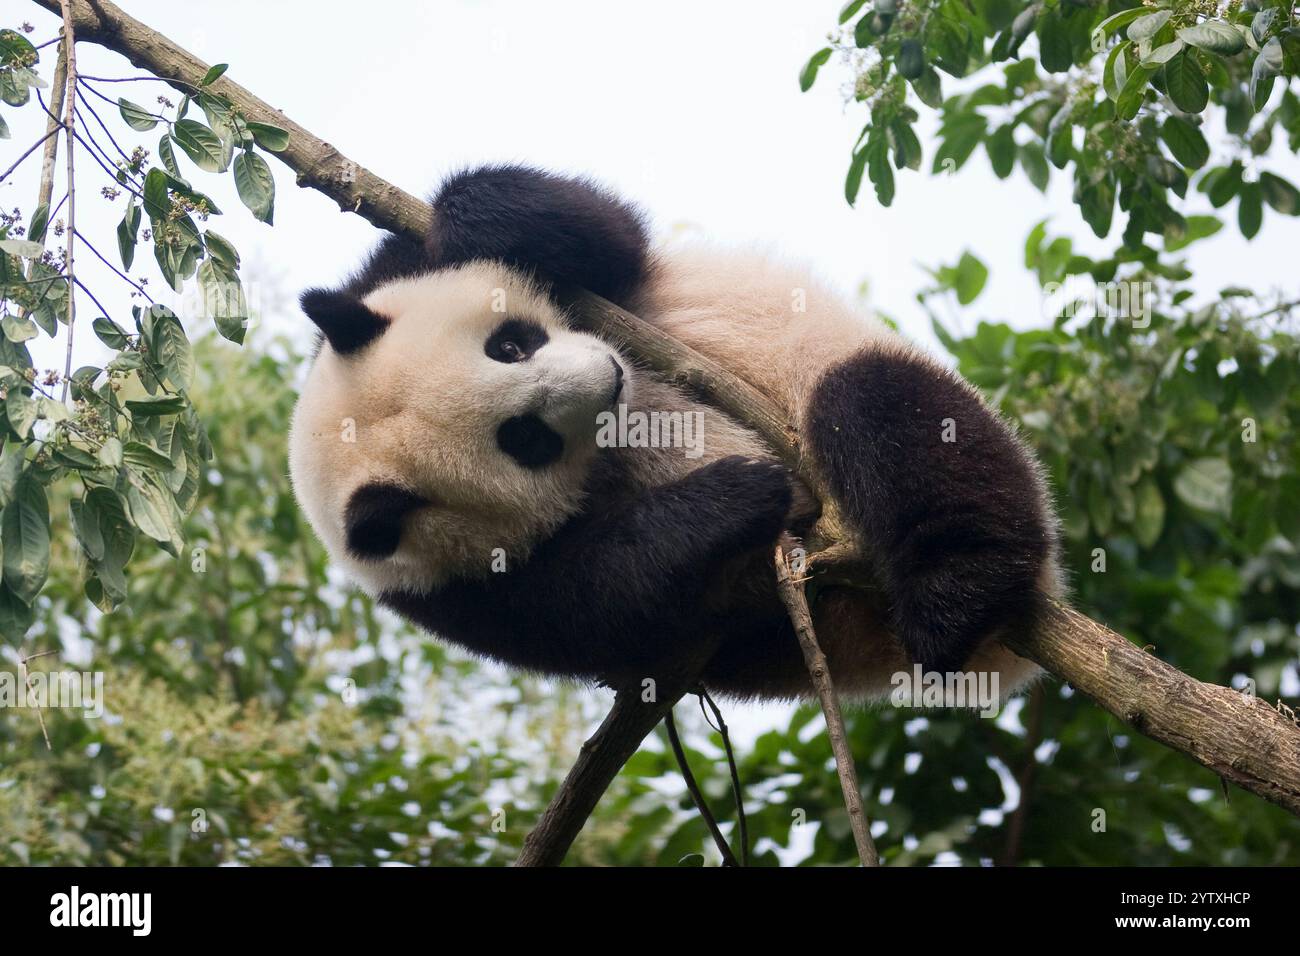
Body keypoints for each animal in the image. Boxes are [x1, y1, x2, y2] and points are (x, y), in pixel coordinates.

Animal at [288, 165, 1063, 702]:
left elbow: (596, 232)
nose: (608, 376)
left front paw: (471, 224)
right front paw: (731, 499)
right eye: (525, 438)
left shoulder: (388, 276)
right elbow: (599, 599)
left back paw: (955, 591)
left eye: (509, 345)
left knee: (885, 410)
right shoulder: (449, 592)